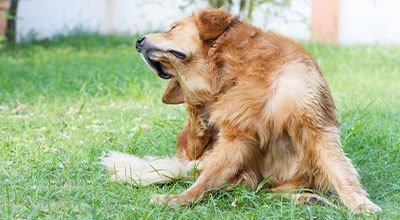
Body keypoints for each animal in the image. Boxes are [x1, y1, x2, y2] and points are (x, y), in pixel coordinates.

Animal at [101, 9, 382, 213]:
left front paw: (361, 204)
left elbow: (341, 172)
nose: (138, 42)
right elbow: (207, 179)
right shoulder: (238, 135)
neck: (235, 71)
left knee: (268, 191)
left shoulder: (316, 125)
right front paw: (181, 199)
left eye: (173, 27)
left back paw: (309, 199)